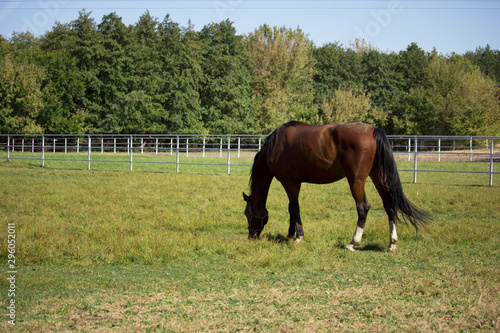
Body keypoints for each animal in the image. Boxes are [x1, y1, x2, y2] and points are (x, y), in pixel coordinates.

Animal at [243, 120, 430, 250]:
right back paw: (392, 243)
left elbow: (295, 208)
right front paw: (290, 234)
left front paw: (299, 236)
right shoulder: (296, 183)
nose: (251, 236)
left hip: (356, 181)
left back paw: (353, 242)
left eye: (247, 213)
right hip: (378, 177)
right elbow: (291, 208)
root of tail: (372, 131)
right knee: (389, 205)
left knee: (363, 208)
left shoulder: (287, 181)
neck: (275, 146)